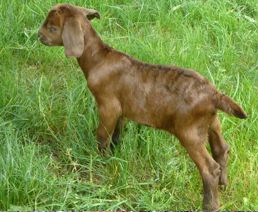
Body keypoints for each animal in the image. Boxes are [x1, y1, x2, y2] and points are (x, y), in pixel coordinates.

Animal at [38, 3, 248, 210]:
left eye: (52, 28)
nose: (38, 36)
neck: (98, 58)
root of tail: (214, 95)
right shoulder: (122, 110)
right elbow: (117, 134)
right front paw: (114, 155)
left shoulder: (108, 105)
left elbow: (103, 135)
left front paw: (100, 161)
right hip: (212, 122)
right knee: (222, 148)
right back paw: (224, 185)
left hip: (189, 131)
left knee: (209, 168)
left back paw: (210, 204)